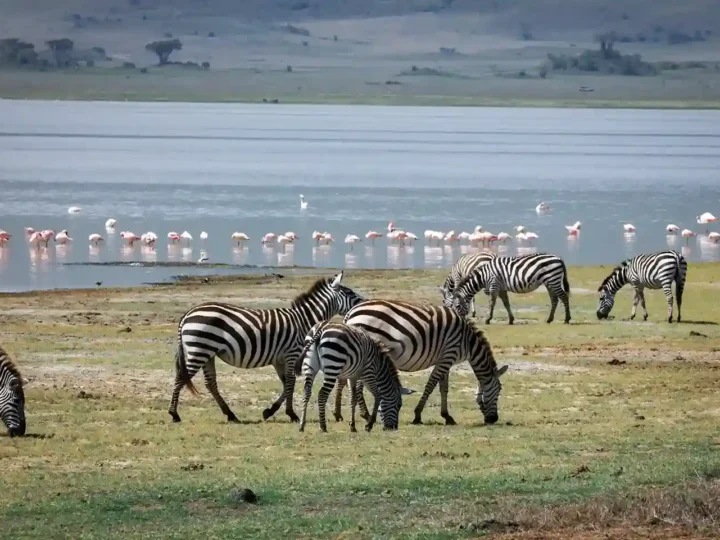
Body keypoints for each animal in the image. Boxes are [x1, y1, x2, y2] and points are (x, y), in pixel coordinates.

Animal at [168, 271, 365, 424]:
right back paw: (174, 414)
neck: (303, 320)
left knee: (210, 383)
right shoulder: (292, 354)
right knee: (181, 378)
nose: (364, 303)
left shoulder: (279, 359)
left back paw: (230, 415)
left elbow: (286, 384)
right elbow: (290, 383)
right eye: (350, 293)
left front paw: (273, 411)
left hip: (208, 353)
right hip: (199, 350)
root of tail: (187, 315)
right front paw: (289, 413)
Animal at [340, 300, 508, 425]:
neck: (468, 342)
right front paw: (418, 415)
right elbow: (431, 385)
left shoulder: (446, 359)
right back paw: (366, 415)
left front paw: (447, 416)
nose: (493, 419)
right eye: (499, 390)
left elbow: (443, 388)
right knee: (358, 383)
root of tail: (351, 312)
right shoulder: (448, 355)